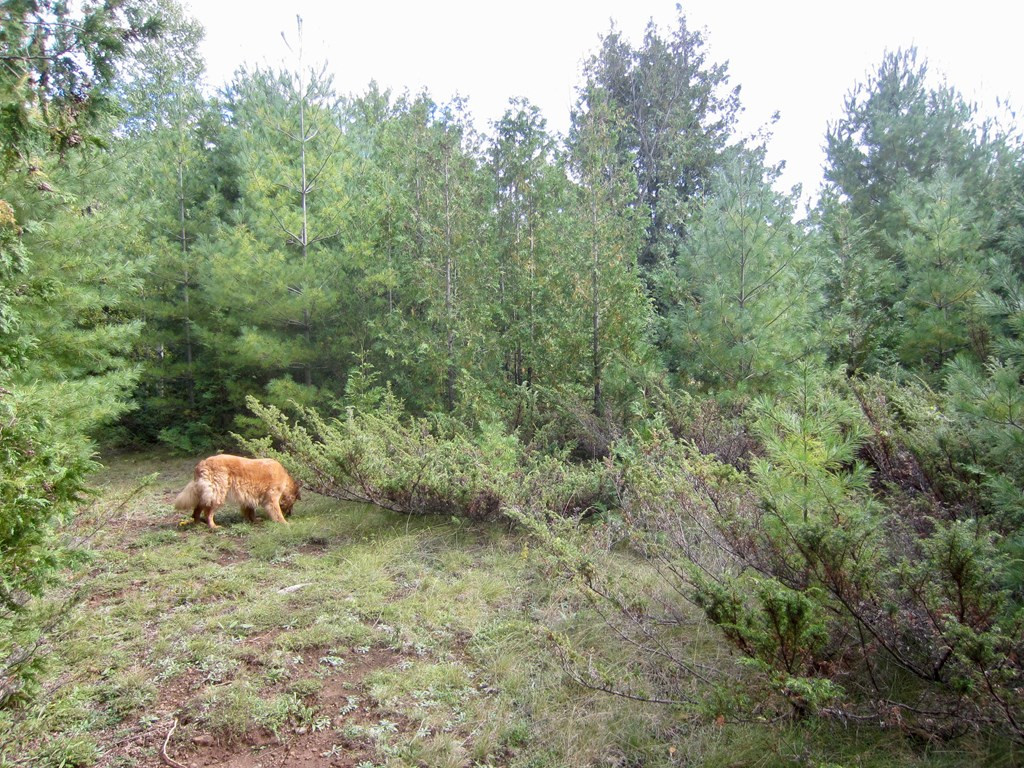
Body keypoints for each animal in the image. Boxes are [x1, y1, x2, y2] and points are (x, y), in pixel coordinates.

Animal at [171, 456, 299, 528]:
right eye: (292, 505)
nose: (290, 515)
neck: (285, 479)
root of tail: (202, 464)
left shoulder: (248, 498)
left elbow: (250, 512)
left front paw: (253, 521)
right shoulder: (272, 499)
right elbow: (277, 513)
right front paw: (285, 523)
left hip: (207, 494)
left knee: (197, 510)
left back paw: (198, 524)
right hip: (218, 495)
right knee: (208, 513)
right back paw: (213, 526)